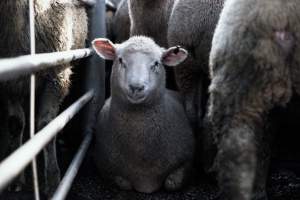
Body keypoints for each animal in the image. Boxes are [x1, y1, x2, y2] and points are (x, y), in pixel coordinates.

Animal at [0, 0, 88, 196]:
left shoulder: (56, 77)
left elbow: (47, 125)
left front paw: (54, 180)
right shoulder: (10, 84)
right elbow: (15, 123)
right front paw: (17, 179)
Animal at [92, 36, 196, 194]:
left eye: (156, 63)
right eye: (120, 60)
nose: (136, 87)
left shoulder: (188, 159)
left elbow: (172, 183)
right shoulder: (104, 165)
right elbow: (124, 184)